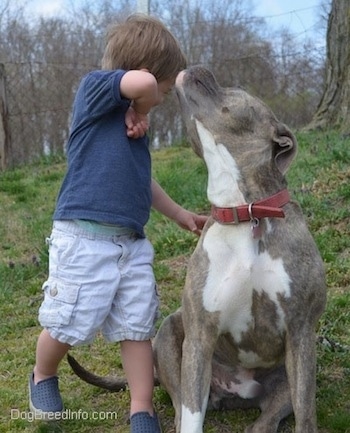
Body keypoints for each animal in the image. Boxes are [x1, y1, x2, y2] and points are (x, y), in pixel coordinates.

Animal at [67, 65, 326, 432]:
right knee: (179, 405)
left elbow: (306, 415)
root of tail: (236, 392)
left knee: (266, 420)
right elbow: (191, 416)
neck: (245, 213)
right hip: (170, 334)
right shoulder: (200, 336)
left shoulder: (301, 332)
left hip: (292, 375)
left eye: (236, 87)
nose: (200, 66)